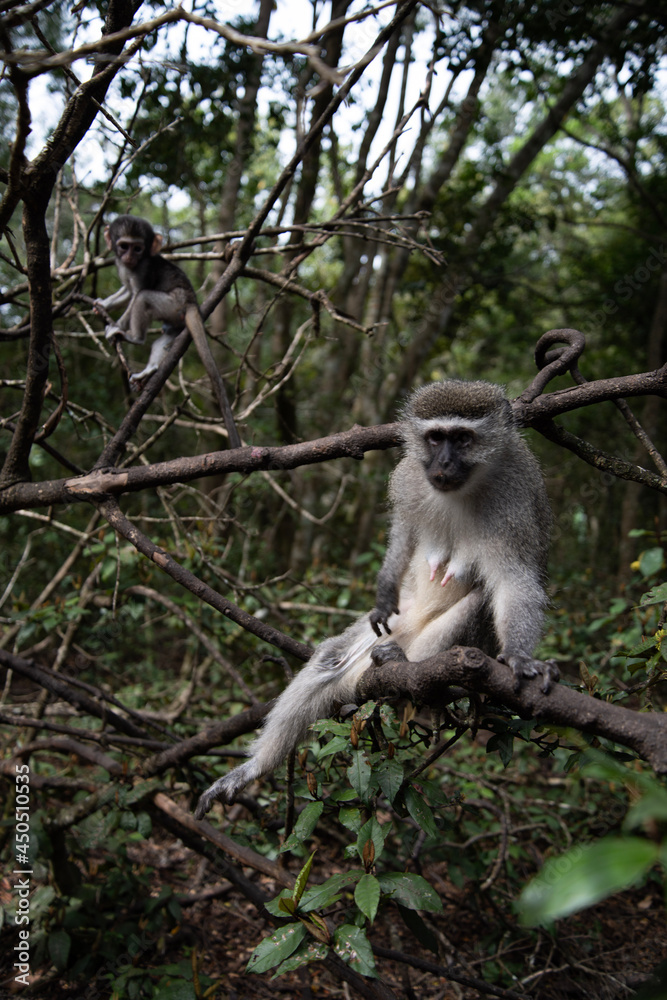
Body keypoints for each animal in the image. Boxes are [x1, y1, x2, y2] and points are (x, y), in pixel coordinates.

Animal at [94, 215, 240, 450]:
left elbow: (135, 294)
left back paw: (135, 338)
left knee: (143, 297)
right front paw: (103, 304)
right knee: (163, 339)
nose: (129, 257)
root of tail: (191, 301)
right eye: (123, 246)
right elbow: (126, 291)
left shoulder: (143, 268)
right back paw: (150, 370)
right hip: (175, 320)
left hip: (172, 304)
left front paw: (117, 327)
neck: (132, 266)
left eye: (138, 248)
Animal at [194, 378, 560, 816]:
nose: (442, 464)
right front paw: (385, 588)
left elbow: (513, 582)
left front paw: (522, 658)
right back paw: (255, 768)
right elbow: (403, 533)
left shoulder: (515, 498)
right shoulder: (408, 477)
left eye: (463, 439)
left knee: (477, 609)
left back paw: (411, 677)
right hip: (388, 631)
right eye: (435, 438)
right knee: (330, 661)